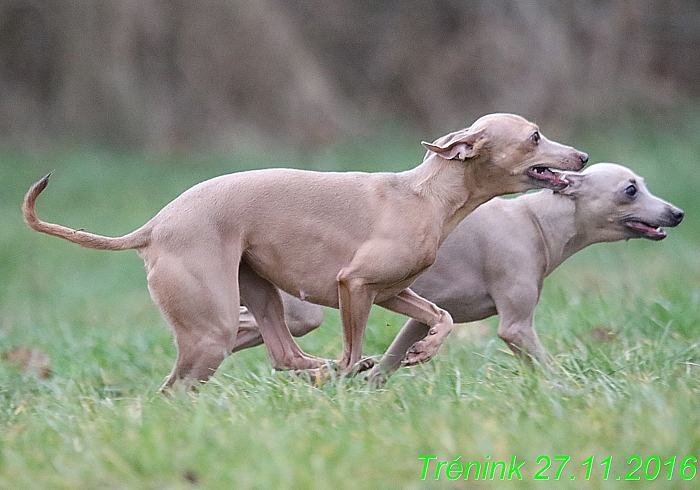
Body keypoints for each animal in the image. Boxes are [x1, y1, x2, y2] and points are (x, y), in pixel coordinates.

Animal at [23, 112, 584, 390]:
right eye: (535, 136)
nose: (580, 155)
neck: (426, 195)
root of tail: (156, 225)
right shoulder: (353, 284)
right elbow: (355, 350)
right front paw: (361, 372)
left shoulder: (391, 292)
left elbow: (439, 316)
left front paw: (421, 350)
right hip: (211, 327)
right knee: (178, 386)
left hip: (258, 291)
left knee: (283, 354)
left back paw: (318, 369)